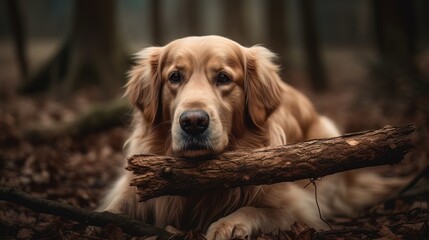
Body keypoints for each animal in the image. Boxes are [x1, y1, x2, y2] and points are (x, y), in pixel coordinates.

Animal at [98, 35, 406, 240]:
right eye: (175, 77)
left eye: (223, 78)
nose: (193, 123)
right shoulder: (130, 190)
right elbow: (111, 212)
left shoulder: (298, 206)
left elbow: (258, 209)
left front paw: (230, 224)